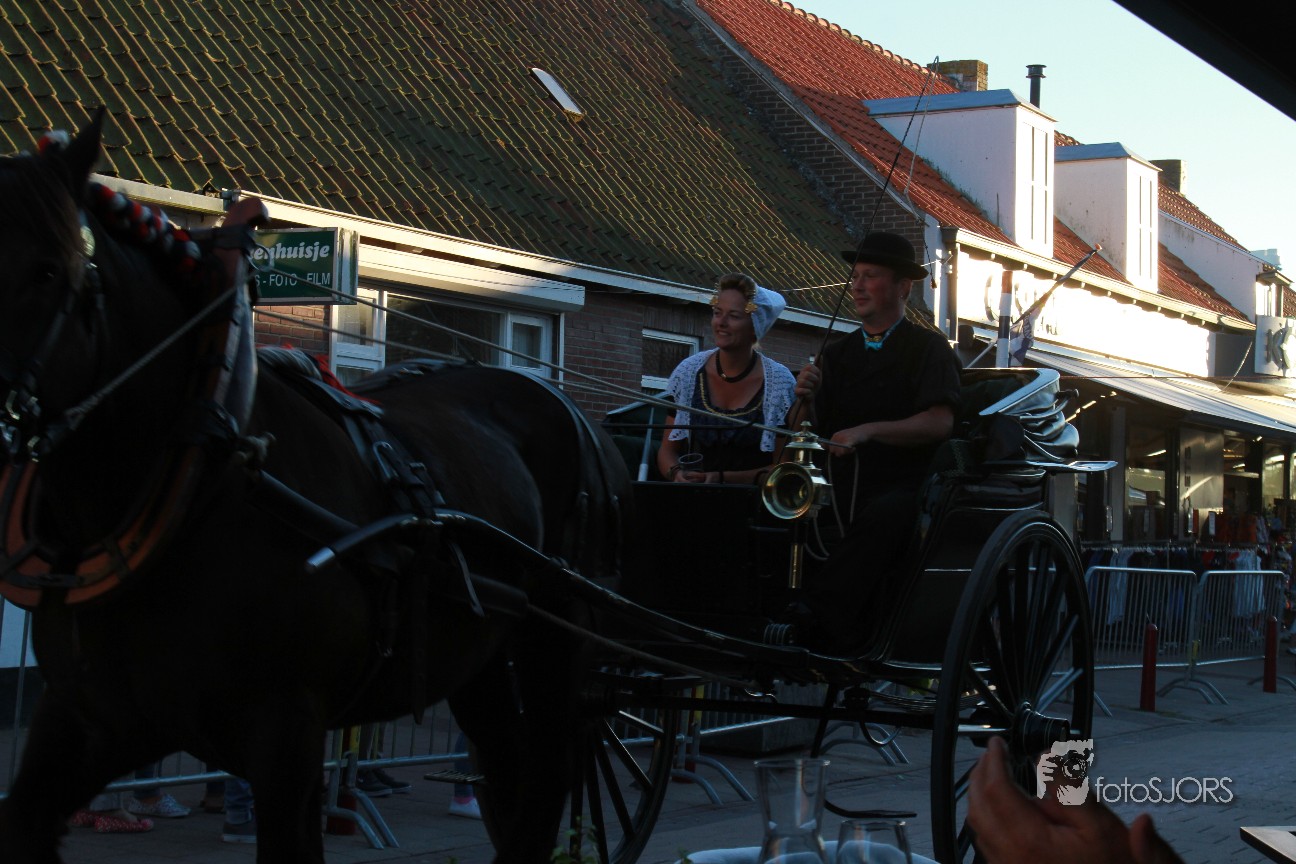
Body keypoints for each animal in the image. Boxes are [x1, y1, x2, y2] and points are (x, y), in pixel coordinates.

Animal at [0, 113, 629, 863]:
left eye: (48, 269)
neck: (201, 472)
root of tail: (566, 406)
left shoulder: (284, 735)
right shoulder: (87, 719)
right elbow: (25, 816)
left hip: (556, 640)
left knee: (550, 770)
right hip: (480, 655)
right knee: (511, 771)